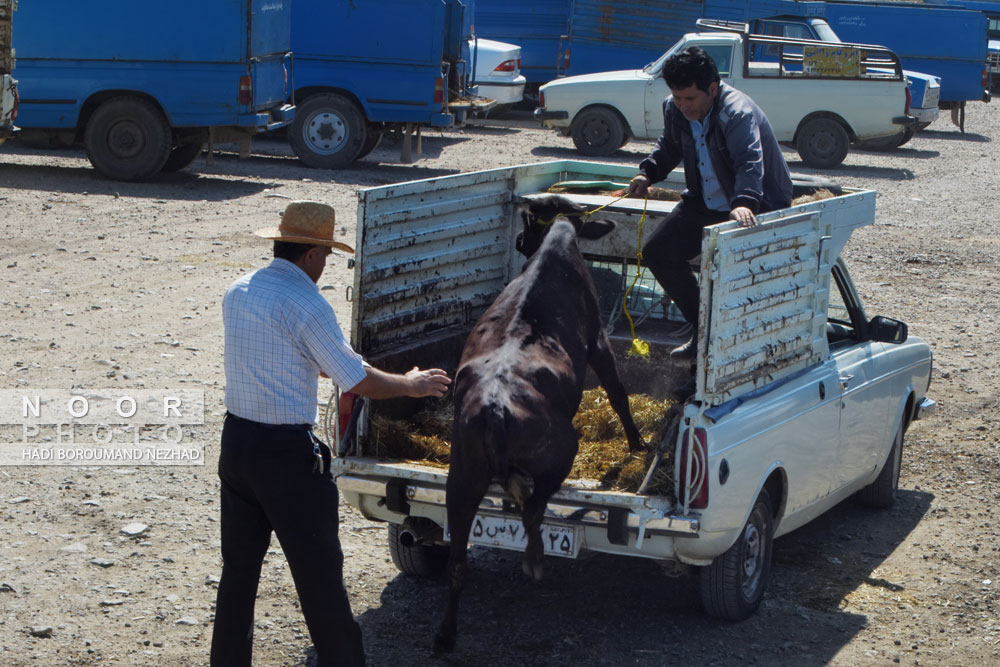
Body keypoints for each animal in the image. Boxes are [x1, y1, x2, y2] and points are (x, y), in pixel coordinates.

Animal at [434, 196, 644, 656]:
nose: (517, 240)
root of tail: (495, 406)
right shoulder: (599, 342)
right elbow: (618, 392)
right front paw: (638, 443)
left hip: (462, 479)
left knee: (457, 563)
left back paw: (446, 636)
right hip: (561, 452)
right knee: (533, 509)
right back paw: (534, 561)